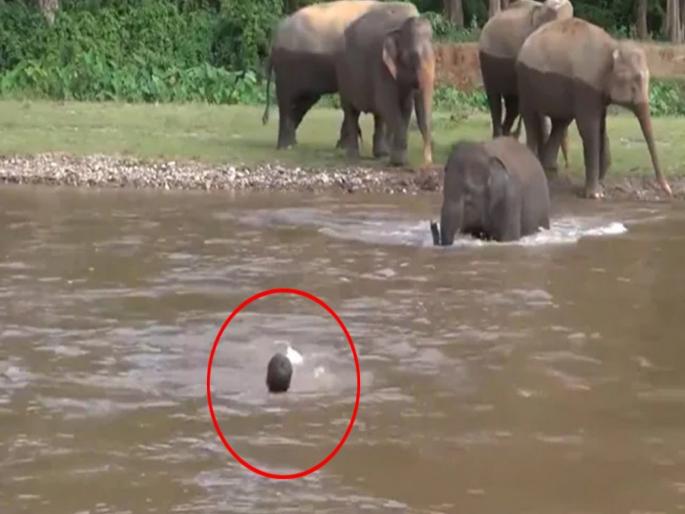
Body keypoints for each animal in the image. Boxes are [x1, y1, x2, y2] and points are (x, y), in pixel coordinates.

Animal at [262, 0, 418, 150]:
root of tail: (275, 40)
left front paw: (342, 146)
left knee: (303, 102)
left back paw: (292, 144)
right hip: (287, 67)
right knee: (287, 101)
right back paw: (286, 146)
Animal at [335, 6, 435, 167]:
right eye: (412, 57)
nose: (427, 162)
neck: (400, 28)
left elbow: (405, 108)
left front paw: (396, 160)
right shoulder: (381, 66)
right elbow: (388, 105)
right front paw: (400, 162)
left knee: (379, 116)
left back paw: (381, 154)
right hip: (343, 75)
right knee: (351, 112)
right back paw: (353, 156)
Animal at [516, 17, 672, 199]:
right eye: (634, 84)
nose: (668, 190)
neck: (613, 46)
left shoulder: (597, 92)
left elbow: (600, 126)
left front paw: (600, 186)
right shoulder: (585, 87)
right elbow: (589, 127)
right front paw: (595, 194)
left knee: (560, 123)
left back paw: (548, 171)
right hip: (525, 81)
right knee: (531, 118)